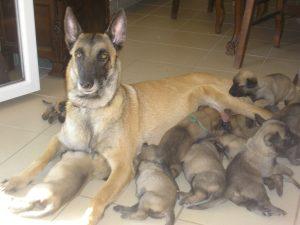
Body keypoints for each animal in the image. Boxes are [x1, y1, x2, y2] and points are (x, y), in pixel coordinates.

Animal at [0, 7, 272, 225]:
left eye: (103, 56)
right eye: (78, 54)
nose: (86, 84)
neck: (92, 111)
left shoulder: (121, 167)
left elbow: (100, 195)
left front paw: (88, 214)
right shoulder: (59, 141)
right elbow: (38, 160)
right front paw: (16, 180)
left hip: (229, 101)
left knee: (266, 115)